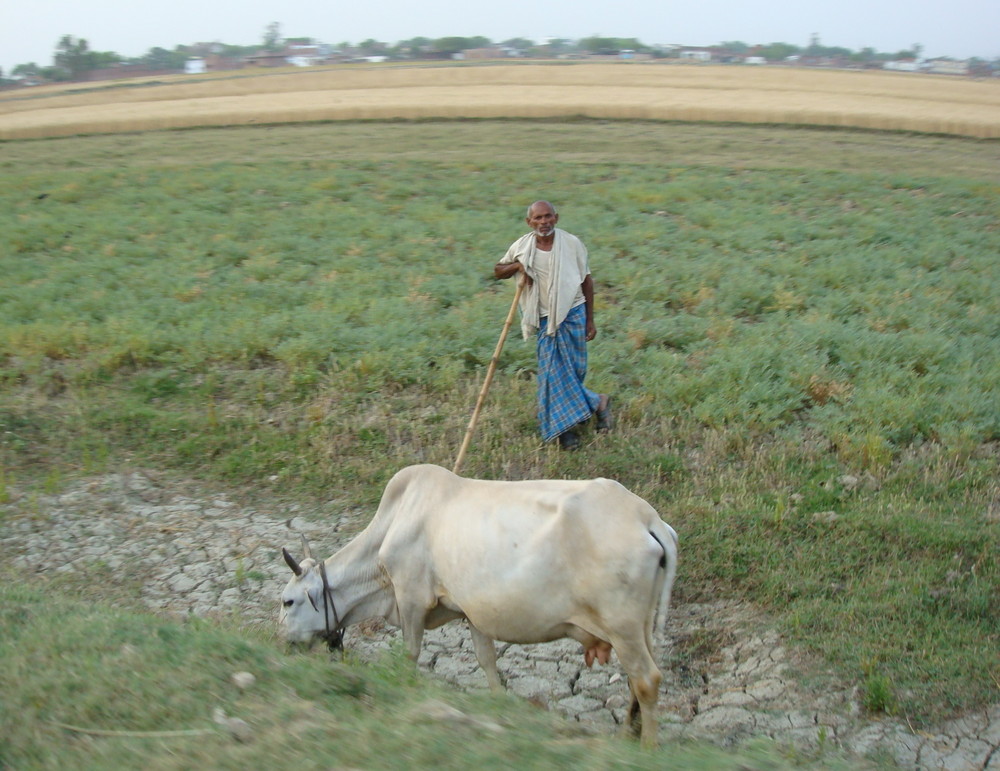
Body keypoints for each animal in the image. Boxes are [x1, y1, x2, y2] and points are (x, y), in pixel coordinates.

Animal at [278, 462, 676, 744]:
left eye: (288, 601)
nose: (281, 641)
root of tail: (646, 517)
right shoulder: (472, 611)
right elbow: (486, 660)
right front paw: (499, 705)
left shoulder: (411, 598)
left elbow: (410, 653)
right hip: (639, 627)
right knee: (638, 680)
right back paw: (628, 733)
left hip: (622, 626)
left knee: (647, 679)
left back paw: (647, 747)